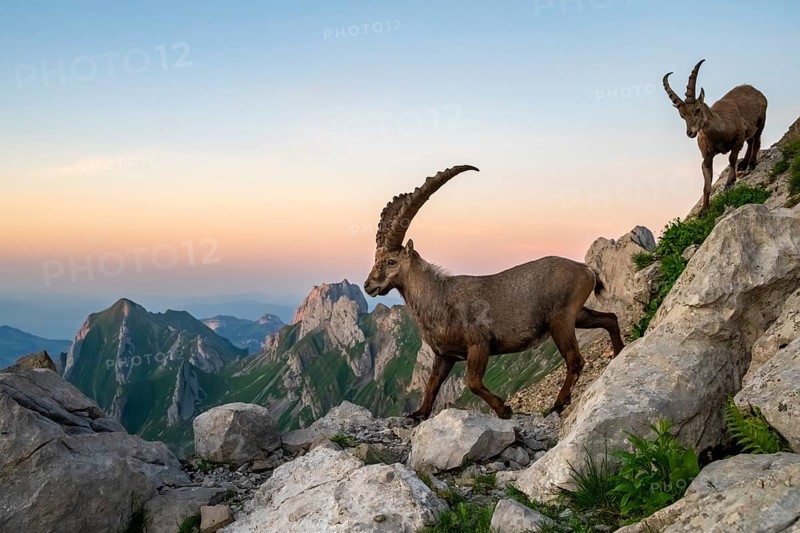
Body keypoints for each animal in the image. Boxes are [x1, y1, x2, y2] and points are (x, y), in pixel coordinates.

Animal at [363, 166, 625, 420]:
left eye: (391, 261)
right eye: (375, 259)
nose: (368, 285)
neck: (439, 296)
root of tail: (586, 269)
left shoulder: (479, 343)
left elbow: (472, 382)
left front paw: (503, 408)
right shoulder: (444, 355)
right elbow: (432, 383)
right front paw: (419, 413)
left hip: (561, 320)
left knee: (575, 360)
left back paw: (558, 404)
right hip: (576, 314)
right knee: (610, 318)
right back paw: (618, 354)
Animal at [663, 59, 767, 211]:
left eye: (697, 109)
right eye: (682, 115)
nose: (690, 133)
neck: (719, 133)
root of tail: (754, 90)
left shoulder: (739, 137)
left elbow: (731, 158)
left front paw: (729, 182)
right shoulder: (706, 156)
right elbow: (706, 184)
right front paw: (704, 209)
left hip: (761, 120)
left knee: (757, 141)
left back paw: (752, 163)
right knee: (751, 141)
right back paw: (743, 164)